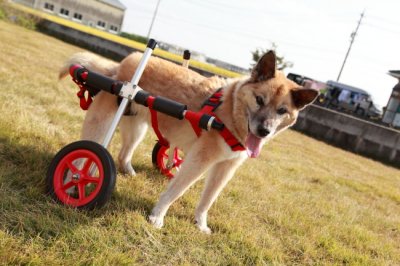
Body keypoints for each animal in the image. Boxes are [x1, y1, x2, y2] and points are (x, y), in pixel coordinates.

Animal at [60, 50, 318, 233]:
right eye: (259, 99)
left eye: (282, 110)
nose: (264, 131)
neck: (230, 111)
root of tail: (121, 65)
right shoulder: (200, 159)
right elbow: (176, 191)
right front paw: (157, 216)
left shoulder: (225, 168)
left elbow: (208, 200)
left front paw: (200, 224)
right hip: (102, 124)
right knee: (85, 155)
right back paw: (74, 183)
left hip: (136, 129)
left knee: (123, 154)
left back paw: (128, 172)